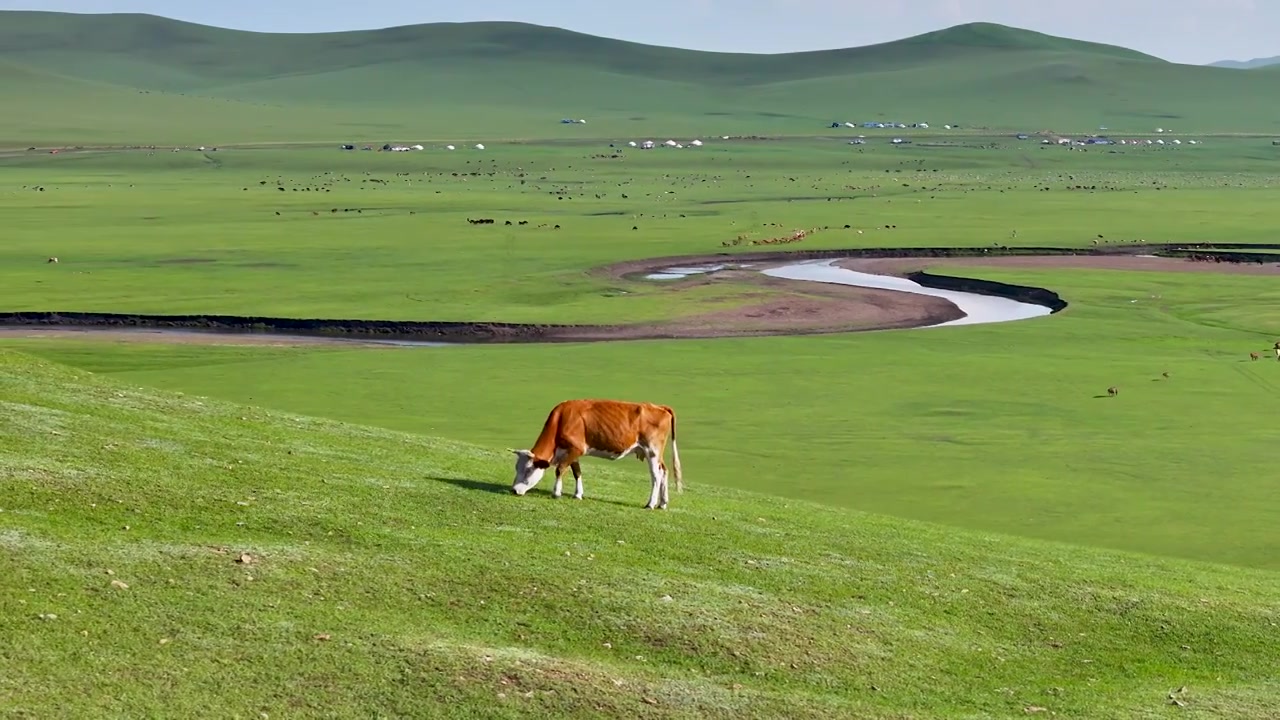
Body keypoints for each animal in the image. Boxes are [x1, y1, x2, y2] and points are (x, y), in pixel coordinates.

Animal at [509, 397, 686, 509]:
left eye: (528, 470)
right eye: (516, 468)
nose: (514, 490)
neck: (562, 419)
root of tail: (659, 406)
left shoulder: (576, 448)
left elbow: (560, 469)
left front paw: (556, 492)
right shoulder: (573, 452)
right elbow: (577, 472)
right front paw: (578, 494)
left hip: (652, 451)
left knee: (656, 475)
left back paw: (651, 504)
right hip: (655, 453)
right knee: (664, 471)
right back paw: (662, 503)